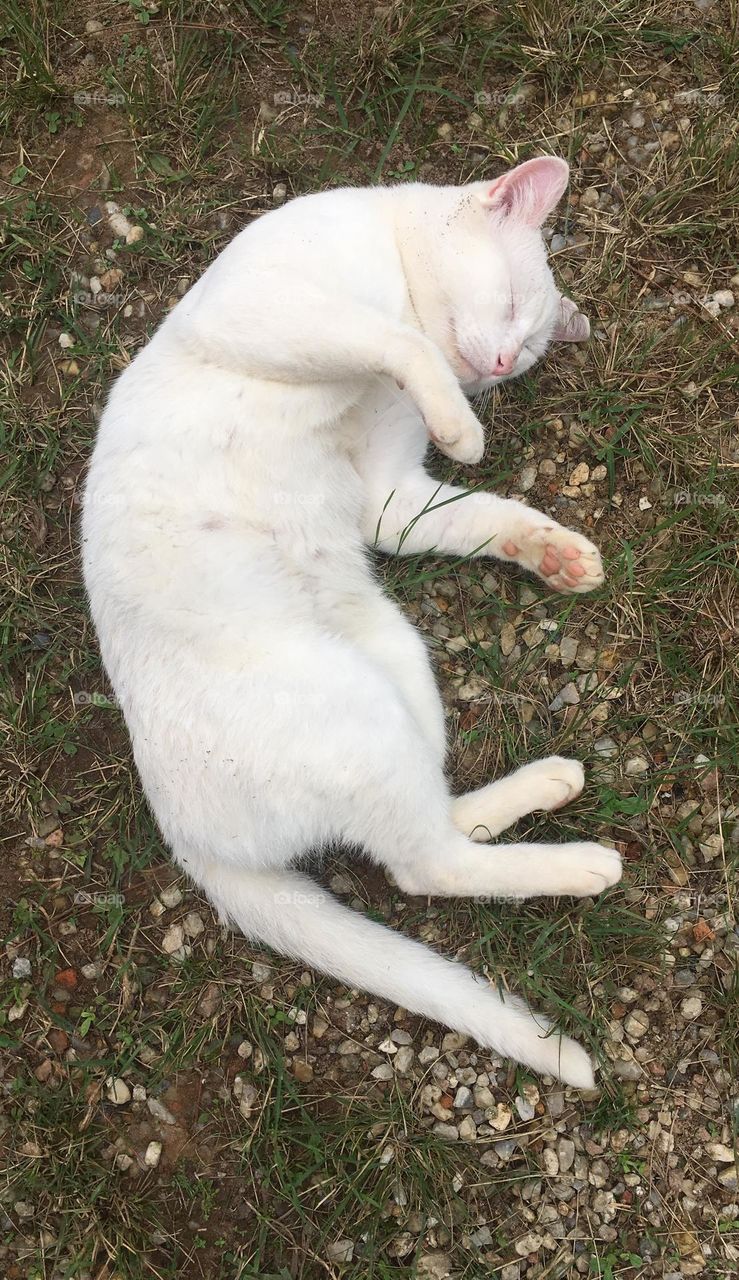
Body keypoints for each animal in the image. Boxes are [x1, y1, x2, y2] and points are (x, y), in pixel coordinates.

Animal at [83, 154, 619, 1085]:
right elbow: (394, 341)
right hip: (353, 714)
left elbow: (480, 513)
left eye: (521, 359)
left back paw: (551, 793)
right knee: (418, 866)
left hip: (393, 671)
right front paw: (462, 426)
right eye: (514, 304)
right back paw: (583, 861)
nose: (499, 362)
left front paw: (549, 549)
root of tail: (185, 835)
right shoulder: (262, 305)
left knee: (427, 839)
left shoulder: (387, 499)